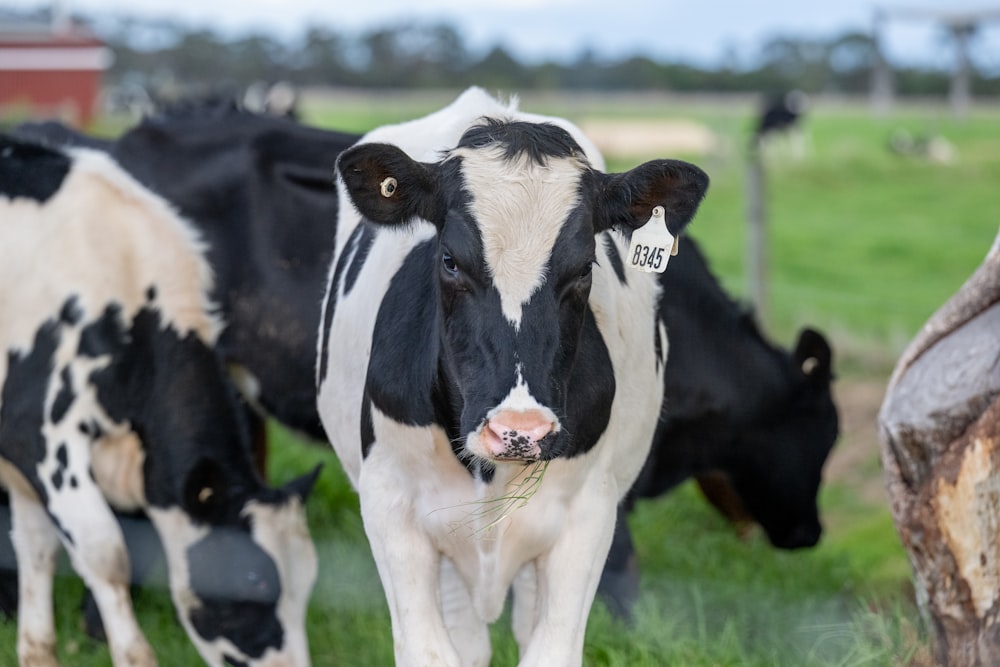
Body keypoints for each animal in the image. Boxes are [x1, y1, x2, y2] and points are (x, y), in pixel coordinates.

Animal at [314, 88, 712, 667]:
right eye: (450, 260)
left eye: (585, 267)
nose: (519, 431)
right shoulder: (389, 503)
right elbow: (430, 651)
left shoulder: (589, 516)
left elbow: (552, 649)